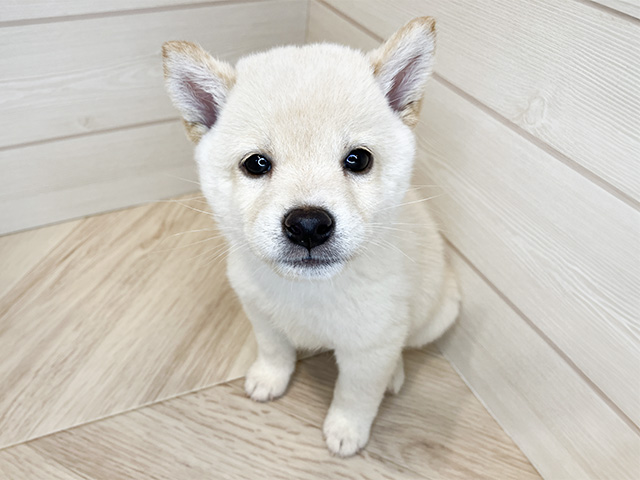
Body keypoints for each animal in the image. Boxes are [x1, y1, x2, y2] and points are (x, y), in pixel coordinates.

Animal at [161, 16, 460, 456]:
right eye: (256, 164)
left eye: (358, 159)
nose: (307, 225)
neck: (306, 293)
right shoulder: (260, 314)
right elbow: (274, 351)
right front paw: (270, 377)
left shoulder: (370, 346)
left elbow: (356, 394)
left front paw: (347, 429)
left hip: (437, 314)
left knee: (406, 346)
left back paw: (394, 373)